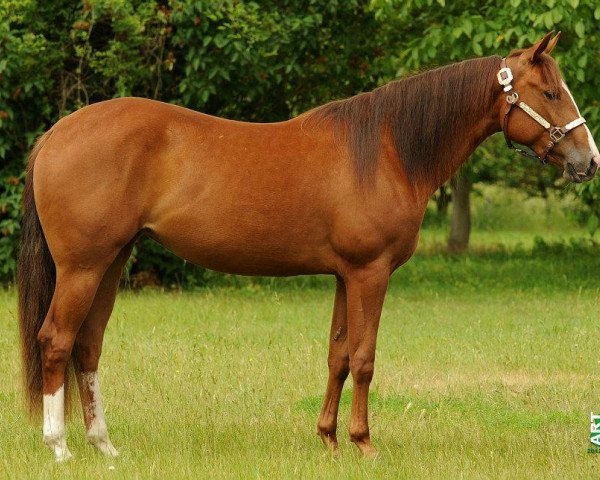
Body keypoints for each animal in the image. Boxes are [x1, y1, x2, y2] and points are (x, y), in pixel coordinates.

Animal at [16, 31, 596, 462]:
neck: (387, 150)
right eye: (550, 93)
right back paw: (59, 447)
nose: (588, 161)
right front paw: (364, 444)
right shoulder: (369, 272)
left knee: (88, 345)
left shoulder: (344, 275)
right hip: (83, 267)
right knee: (56, 341)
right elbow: (364, 357)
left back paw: (104, 446)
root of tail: (55, 134)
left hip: (111, 263)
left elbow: (337, 355)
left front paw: (329, 440)